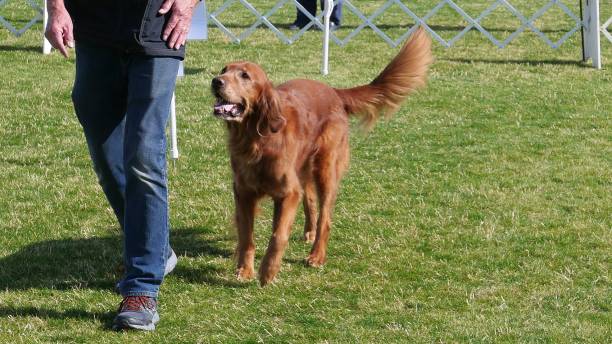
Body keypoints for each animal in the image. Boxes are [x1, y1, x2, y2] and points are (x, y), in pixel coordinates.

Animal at [213, 28, 432, 286]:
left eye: (245, 75)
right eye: (224, 69)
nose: (216, 81)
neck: (257, 138)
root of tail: (334, 91)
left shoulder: (287, 192)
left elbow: (278, 235)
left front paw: (268, 271)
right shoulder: (244, 192)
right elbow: (247, 235)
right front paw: (244, 270)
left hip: (326, 169)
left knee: (325, 218)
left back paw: (317, 255)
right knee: (310, 201)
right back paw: (309, 233)